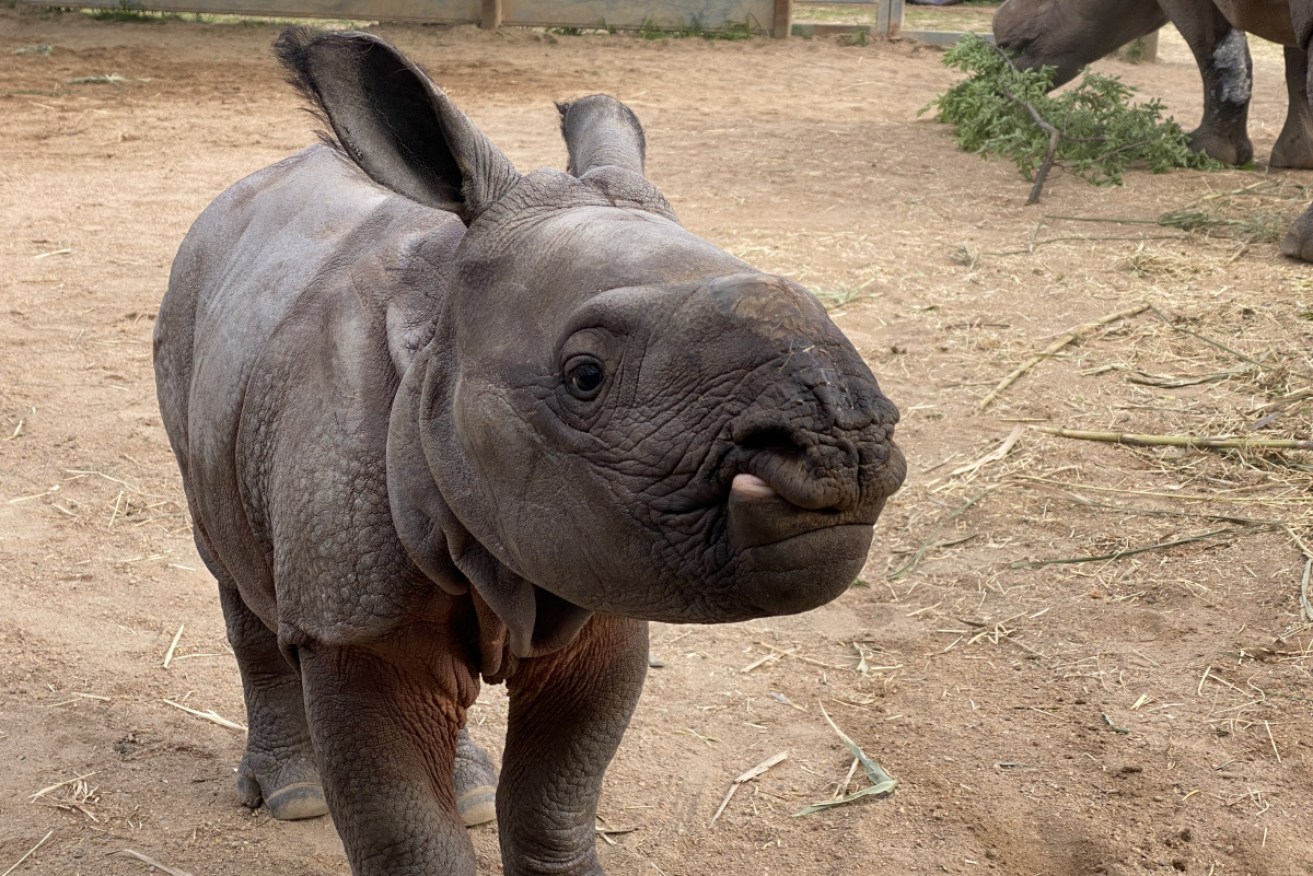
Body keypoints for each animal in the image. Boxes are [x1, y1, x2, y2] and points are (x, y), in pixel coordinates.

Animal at [153, 27, 908, 876]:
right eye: (585, 377)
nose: (843, 448)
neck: (441, 330)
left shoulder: (597, 572)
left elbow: (554, 797)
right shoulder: (351, 619)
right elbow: (405, 833)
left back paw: (470, 793)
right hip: (188, 316)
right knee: (227, 564)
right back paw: (290, 797)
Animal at [992, 0, 1313, 258]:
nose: (999, 38)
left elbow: (1214, 45)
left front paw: (1200, 150)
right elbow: (1295, 66)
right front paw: (1296, 157)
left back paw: (1299, 247)